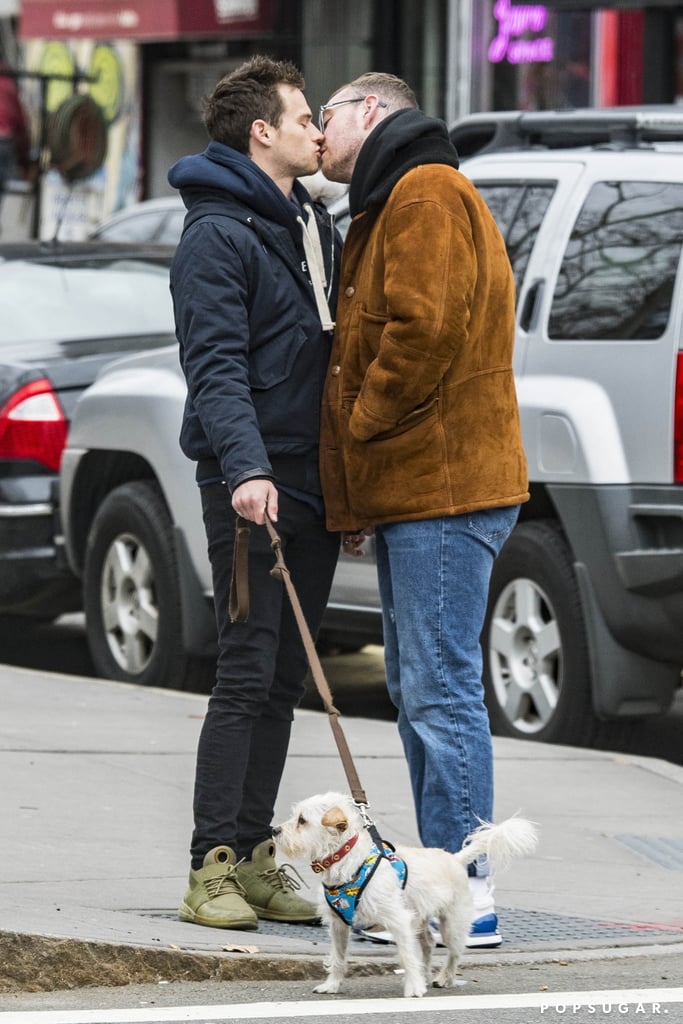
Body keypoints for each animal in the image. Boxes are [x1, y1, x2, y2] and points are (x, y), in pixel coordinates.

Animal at [272, 790, 540, 999]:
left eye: (302, 820)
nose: (274, 830)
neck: (346, 861)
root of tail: (455, 859)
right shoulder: (338, 925)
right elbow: (338, 957)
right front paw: (332, 985)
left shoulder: (398, 920)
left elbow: (407, 955)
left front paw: (414, 988)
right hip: (419, 918)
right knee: (429, 944)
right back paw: (427, 974)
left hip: (452, 924)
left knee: (454, 952)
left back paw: (444, 977)